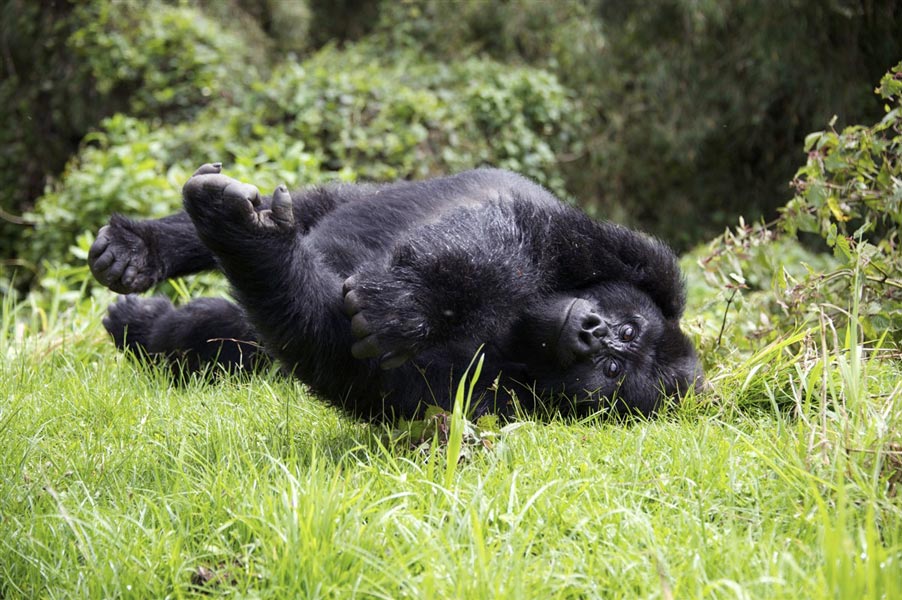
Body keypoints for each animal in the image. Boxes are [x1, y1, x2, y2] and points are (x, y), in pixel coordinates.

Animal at [88, 164, 704, 418]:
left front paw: (250, 241)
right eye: (624, 328)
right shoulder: (640, 259)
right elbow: (516, 237)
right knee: (322, 206)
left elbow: (346, 354)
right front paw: (415, 301)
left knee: (248, 328)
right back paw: (145, 247)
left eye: (613, 372)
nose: (592, 333)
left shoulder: (473, 401)